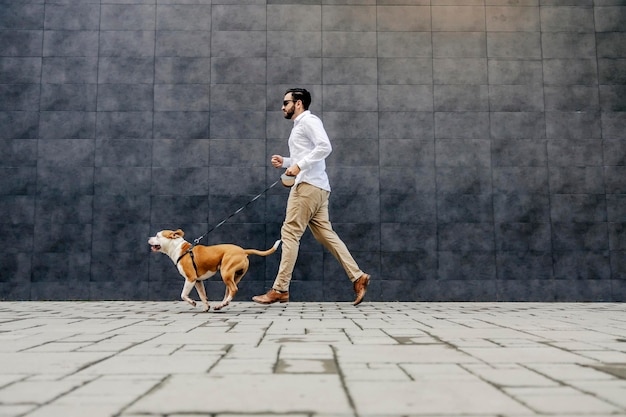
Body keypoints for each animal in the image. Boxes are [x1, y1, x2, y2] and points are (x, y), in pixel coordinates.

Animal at [147, 229, 280, 310]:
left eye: (157, 236)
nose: (148, 238)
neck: (180, 249)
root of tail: (243, 251)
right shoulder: (198, 281)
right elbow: (202, 295)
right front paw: (206, 307)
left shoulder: (190, 278)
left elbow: (183, 294)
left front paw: (192, 302)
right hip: (234, 276)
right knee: (229, 292)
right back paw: (221, 305)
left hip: (226, 272)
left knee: (234, 289)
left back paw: (223, 304)